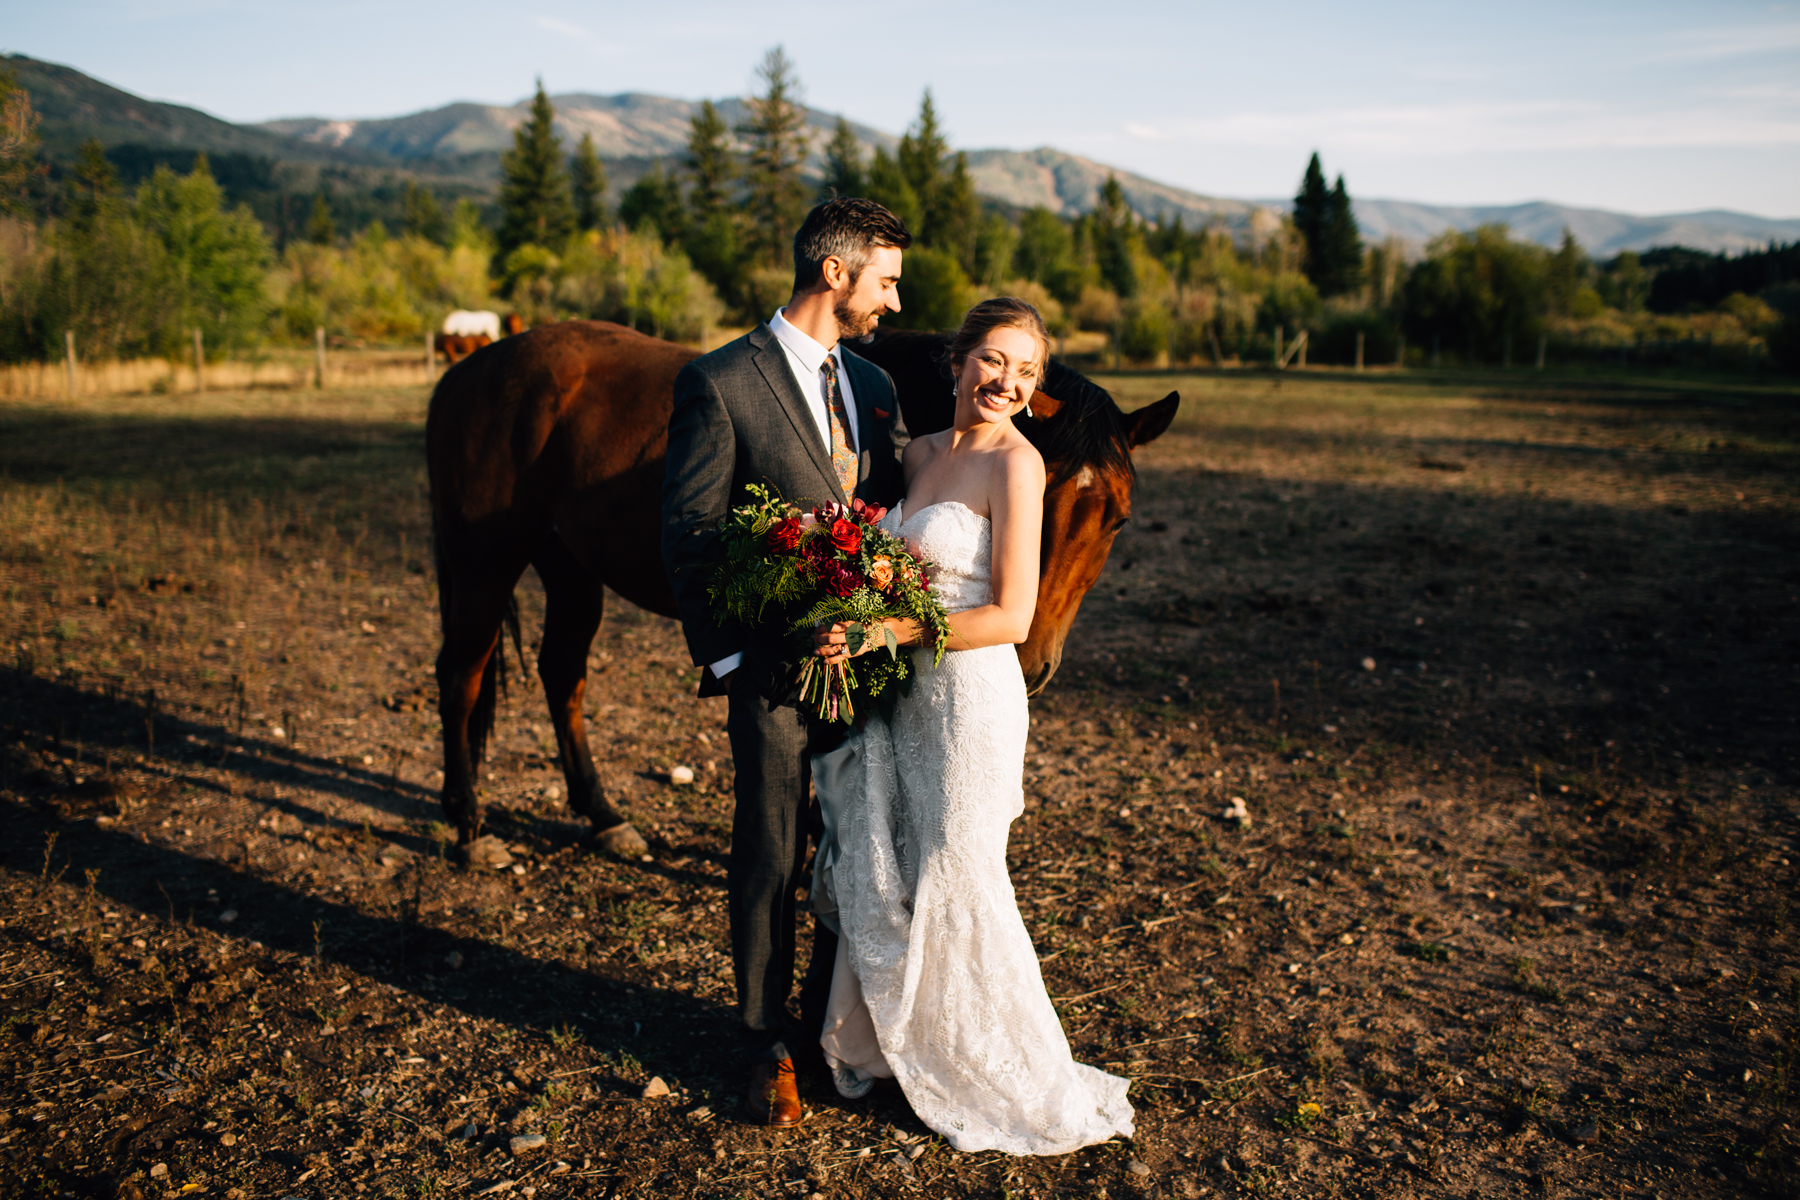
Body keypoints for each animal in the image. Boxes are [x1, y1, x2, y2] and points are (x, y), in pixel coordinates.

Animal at [424, 316, 1180, 852]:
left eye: (1118, 519)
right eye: (1037, 499)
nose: (1029, 661)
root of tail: (470, 369)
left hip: (570, 567)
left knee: (561, 674)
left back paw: (602, 816)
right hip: (484, 561)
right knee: (461, 672)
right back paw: (468, 826)